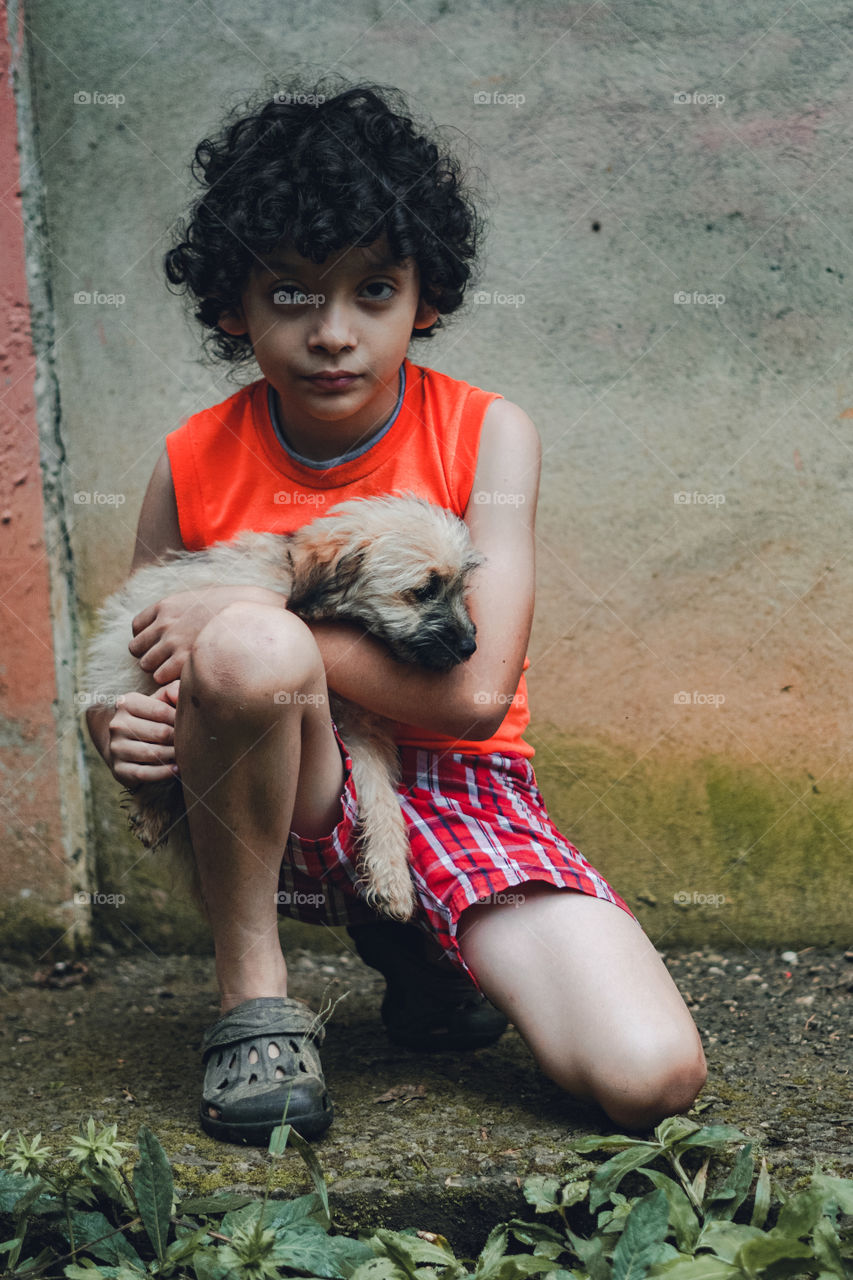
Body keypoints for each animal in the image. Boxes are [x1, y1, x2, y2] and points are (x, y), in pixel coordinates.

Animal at [83, 494, 481, 926]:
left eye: (461, 587)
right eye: (424, 590)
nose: (469, 648)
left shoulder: (361, 732)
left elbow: (382, 800)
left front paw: (391, 877)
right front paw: (152, 801)